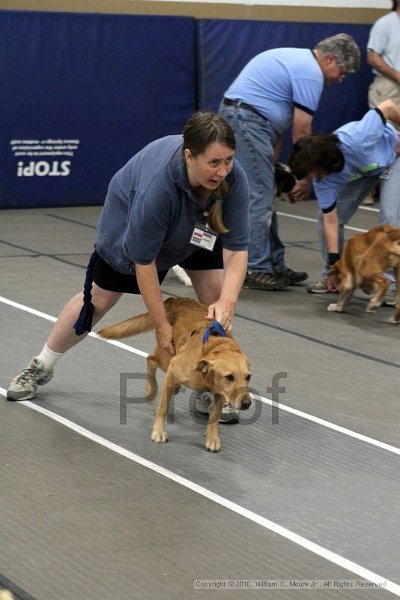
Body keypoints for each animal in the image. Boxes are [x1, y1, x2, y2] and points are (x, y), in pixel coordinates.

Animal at [97, 298, 252, 452]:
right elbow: (163, 408)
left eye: (248, 377)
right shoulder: (173, 367)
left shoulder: (220, 394)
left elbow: (214, 418)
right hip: (166, 357)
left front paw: (212, 438)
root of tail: (173, 300)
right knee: (150, 359)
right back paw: (150, 390)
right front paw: (159, 431)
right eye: (229, 377)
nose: (247, 403)